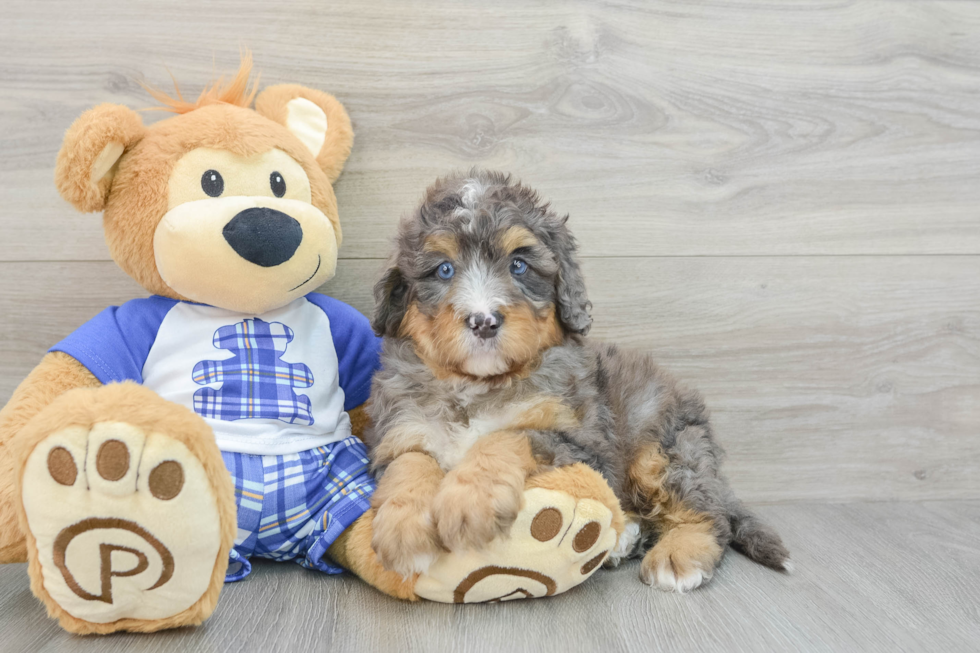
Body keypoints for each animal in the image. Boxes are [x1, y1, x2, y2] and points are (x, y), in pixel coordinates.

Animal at [364, 169, 792, 592]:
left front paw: (469, 502)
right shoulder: (400, 428)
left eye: (518, 265)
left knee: (707, 511)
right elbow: (410, 460)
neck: (479, 385)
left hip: (665, 447)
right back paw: (624, 540)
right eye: (444, 269)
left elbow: (509, 435)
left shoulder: (584, 445)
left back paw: (679, 555)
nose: (483, 320)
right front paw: (403, 529)